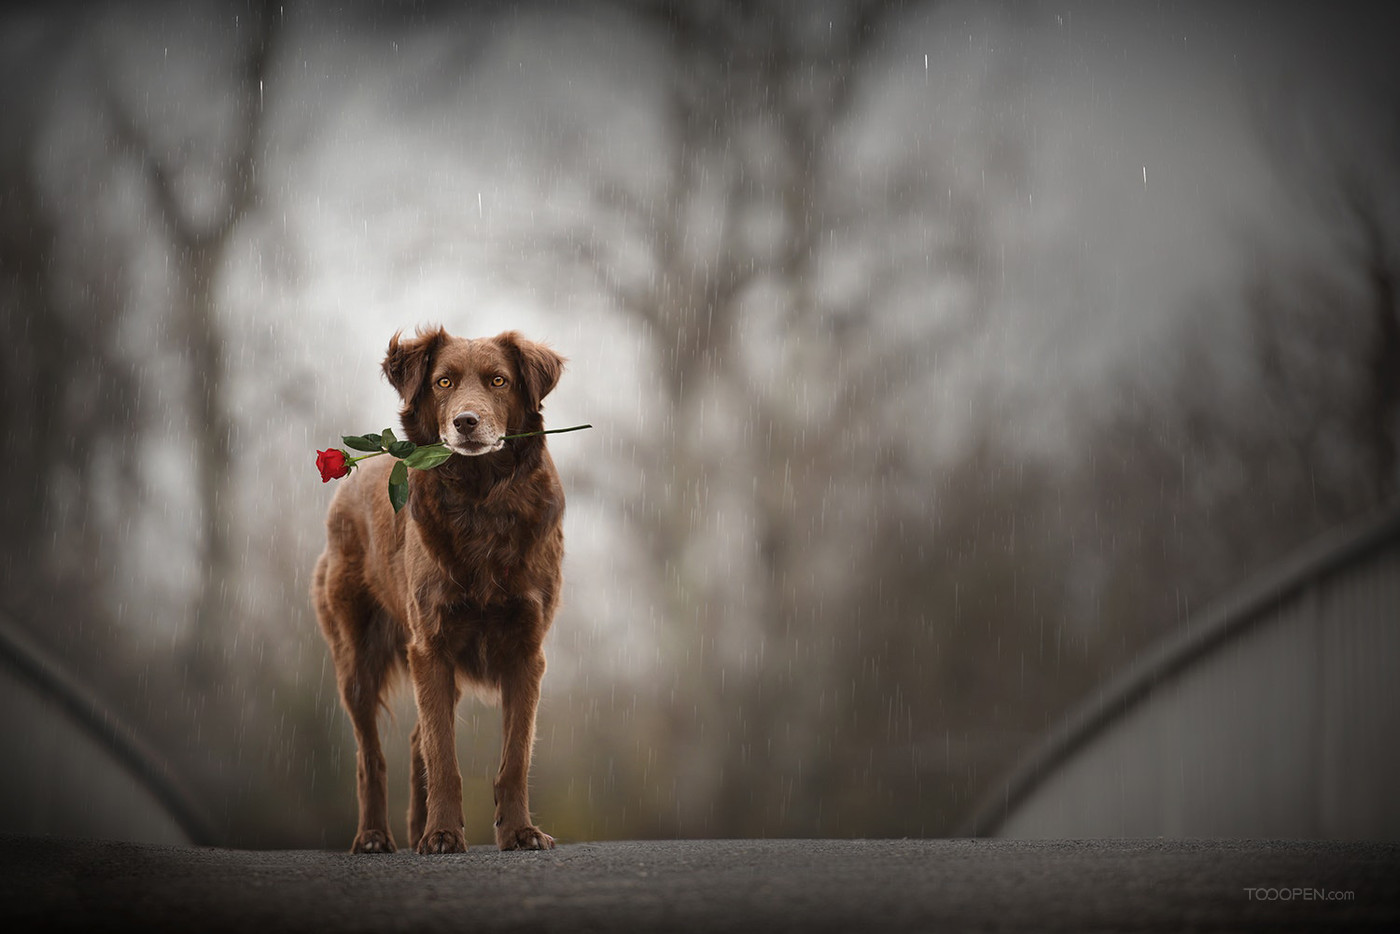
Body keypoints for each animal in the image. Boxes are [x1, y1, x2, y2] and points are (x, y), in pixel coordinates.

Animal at [312, 329, 562, 856]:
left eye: (499, 381)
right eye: (443, 382)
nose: (466, 423)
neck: (481, 498)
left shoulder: (526, 650)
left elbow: (514, 757)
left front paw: (519, 832)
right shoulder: (431, 645)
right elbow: (443, 756)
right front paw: (443, 833)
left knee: (414, 742)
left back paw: (412, 830)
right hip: (357, 659)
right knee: (371, 755)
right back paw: (374, 836)